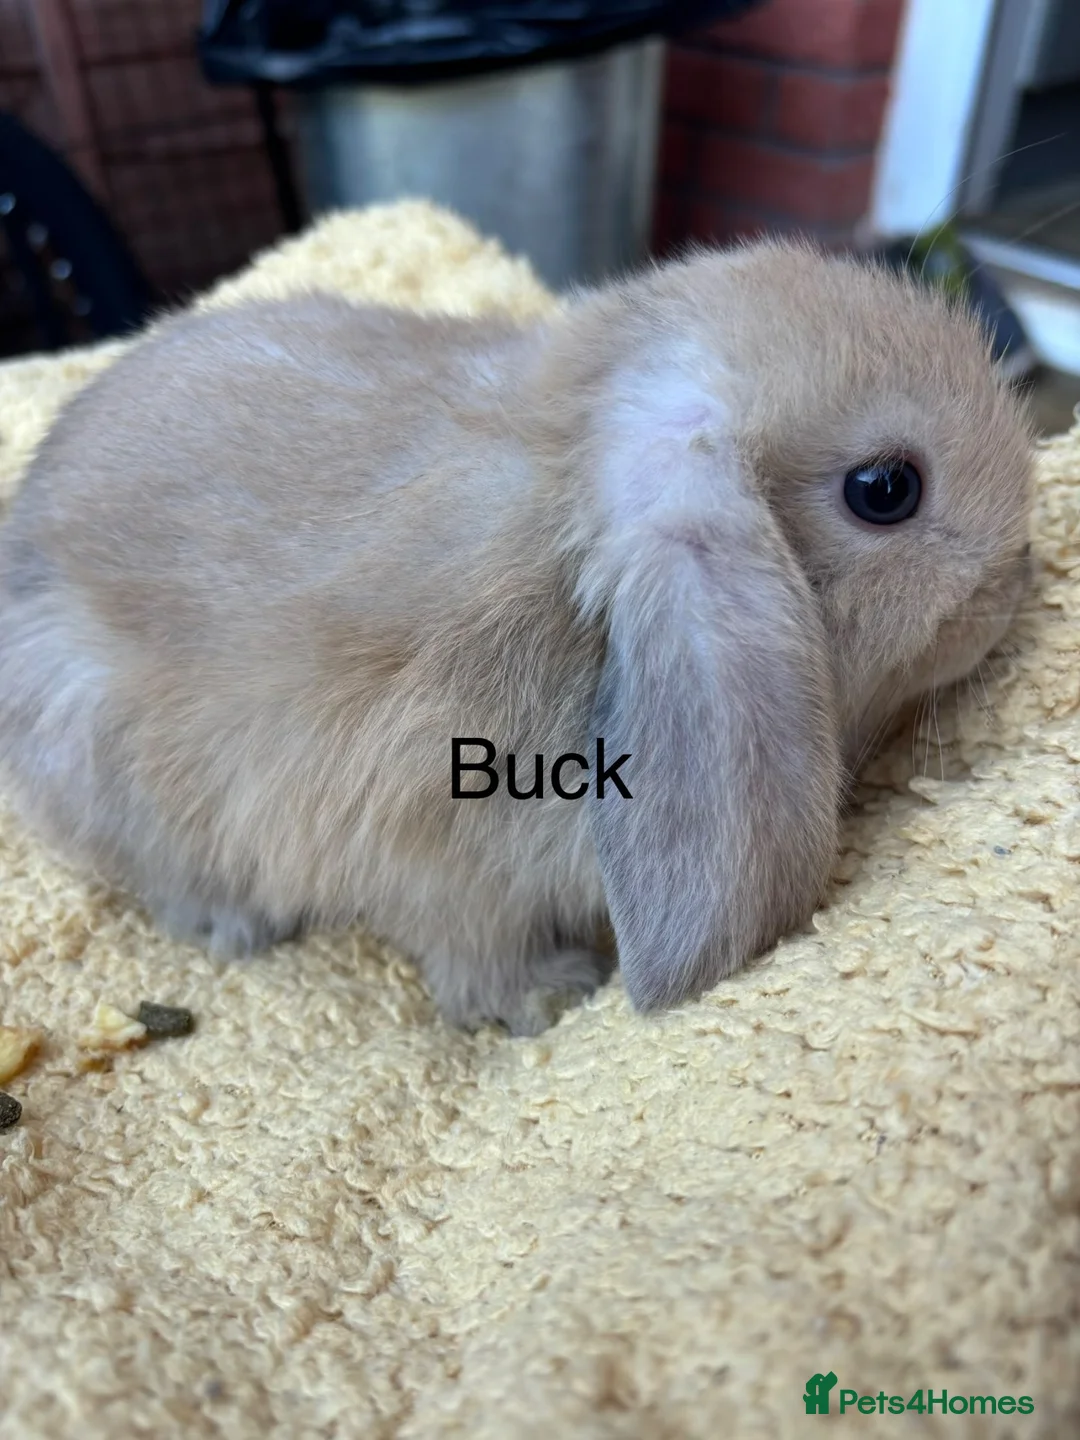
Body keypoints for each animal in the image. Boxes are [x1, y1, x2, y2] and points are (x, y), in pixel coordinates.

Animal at [0, 239, 1034, 1034]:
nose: (1018, 580)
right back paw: (232, 925)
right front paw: (547, 999)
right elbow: (471, 950)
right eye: (885, 490)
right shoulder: (431, 848)